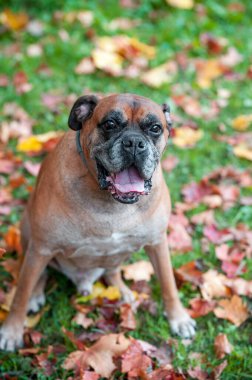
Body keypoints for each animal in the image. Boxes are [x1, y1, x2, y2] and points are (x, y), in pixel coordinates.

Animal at [0, 93, 196, 350]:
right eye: (110, 124)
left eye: (155, 128)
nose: (134, 143)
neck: (112, 204)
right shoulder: (42, 248)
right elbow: (20, 294)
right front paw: (11, 330)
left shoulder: (157, 242)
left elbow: (168, 283)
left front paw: (178, 318)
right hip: (27, 233)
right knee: (34, 275)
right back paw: (36, 294)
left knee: (112, 271)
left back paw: (122, 291)